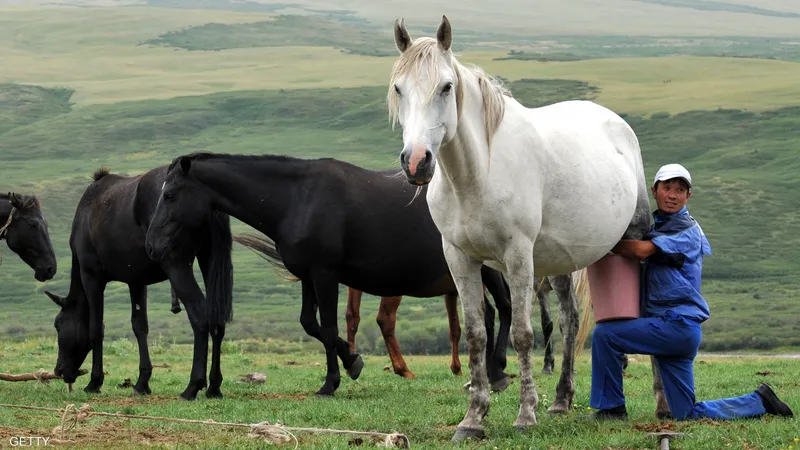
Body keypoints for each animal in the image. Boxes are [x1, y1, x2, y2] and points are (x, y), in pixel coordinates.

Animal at [44, 167, 233, 400]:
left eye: (58, 324)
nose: (59, 370)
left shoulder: (91, 277)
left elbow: (95, 329)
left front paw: (95, 382)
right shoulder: (136, 281)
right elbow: (139, 326)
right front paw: (142, 382)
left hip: (177, 266)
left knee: (199, 316)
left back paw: (193, 385)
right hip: (209, 261)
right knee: (217, 319)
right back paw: (214, 386)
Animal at [146, 152, 516, 398]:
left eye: (170, 195)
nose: (151, 246)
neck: (297, 199)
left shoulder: (325, 275)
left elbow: (326, 326)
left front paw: (330, 383)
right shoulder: (308, 276)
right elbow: (311, 324)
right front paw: (352, 361)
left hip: (487, 267)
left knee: (505, 308)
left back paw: (497, 371)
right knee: (490, 314)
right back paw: (486, 374)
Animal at [388, 15, 656, 442]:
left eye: (446, 87)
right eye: (399, 88)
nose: (416, 162)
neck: (475, 176)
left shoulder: (517, 255)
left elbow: (522, 334)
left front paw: (525, 414)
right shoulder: (459, 258)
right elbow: (476, 333)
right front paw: (473, 418)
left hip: (631, 241)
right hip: (559, 261)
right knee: (569, 321)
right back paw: (562, 399)